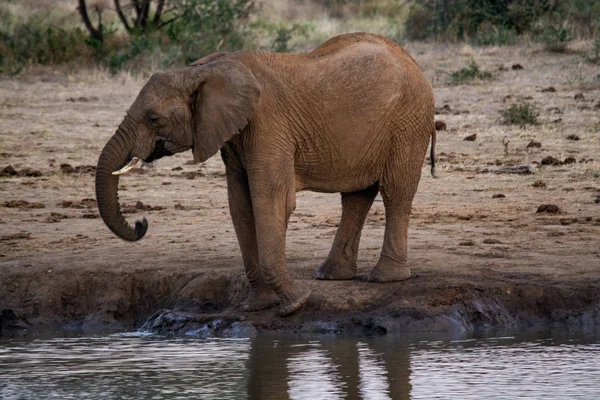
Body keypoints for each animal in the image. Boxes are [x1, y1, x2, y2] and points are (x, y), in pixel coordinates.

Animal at [96, 32, 438, 318]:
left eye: (153, 118)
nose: (141, 223)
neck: (203, 70)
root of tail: (412, 61)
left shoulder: (268, 126)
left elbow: (270, 202)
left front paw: (296, 303)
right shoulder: (233, 135)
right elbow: (241, 205)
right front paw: (260, 306)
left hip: (409, 121)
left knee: (395, 192)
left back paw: (384, 278)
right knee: (356, 196)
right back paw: (332, 275)